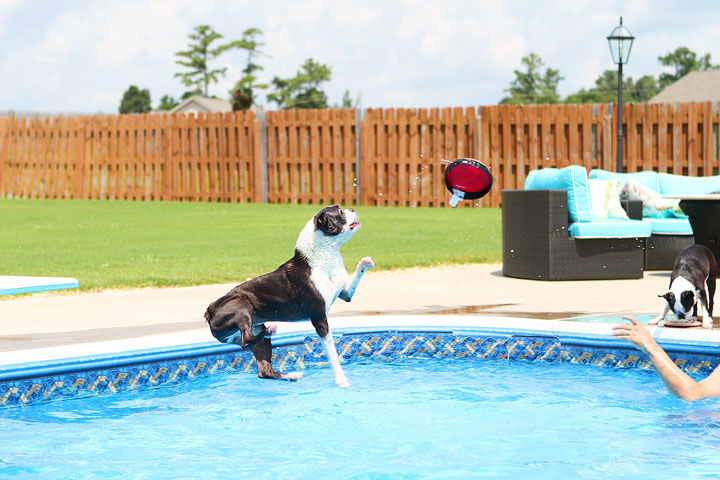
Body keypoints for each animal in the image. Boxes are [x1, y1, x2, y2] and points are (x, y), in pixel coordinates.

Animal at [202, 204, 372, 388]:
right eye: (339, 212)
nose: (352, 208)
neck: (324, 255)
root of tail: (209, 312)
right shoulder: (320, 319)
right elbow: (332, 351)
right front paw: (341, 379)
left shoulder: (345, 293)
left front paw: (365, 262)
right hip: (241, 304)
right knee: (245, 340)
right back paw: (271, 330)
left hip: (254, 330)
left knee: (263, 369)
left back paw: (291, 374)